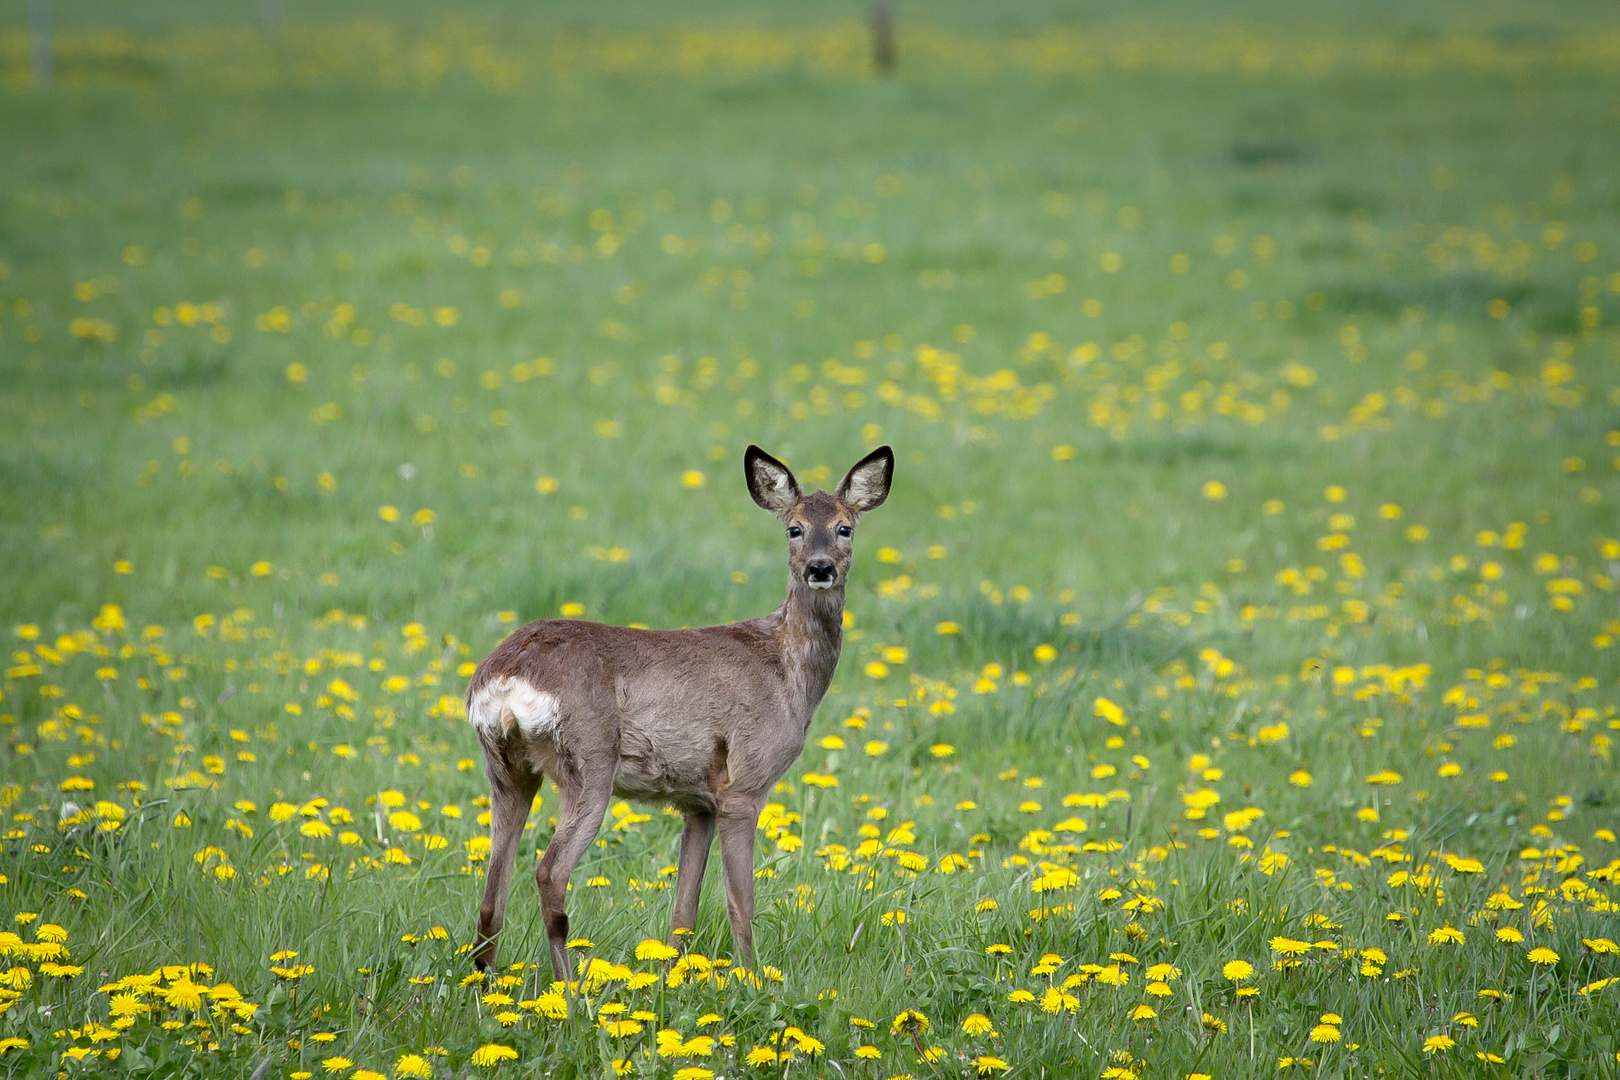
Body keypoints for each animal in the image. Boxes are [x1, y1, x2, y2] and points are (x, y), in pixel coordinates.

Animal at [469, 443, 894, 984]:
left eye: (845, 527)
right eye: (793, 528)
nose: (820, 568)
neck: (788, 671)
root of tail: (506, 677)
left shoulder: (698, 801)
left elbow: (683, 911)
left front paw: (673, 980)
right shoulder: (745, 783)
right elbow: (740, 904)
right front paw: (752, 980)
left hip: (507, 768)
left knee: (491, 890)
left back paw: (486, 987)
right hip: (589, 760)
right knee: (549, 871)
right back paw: (568, 988)